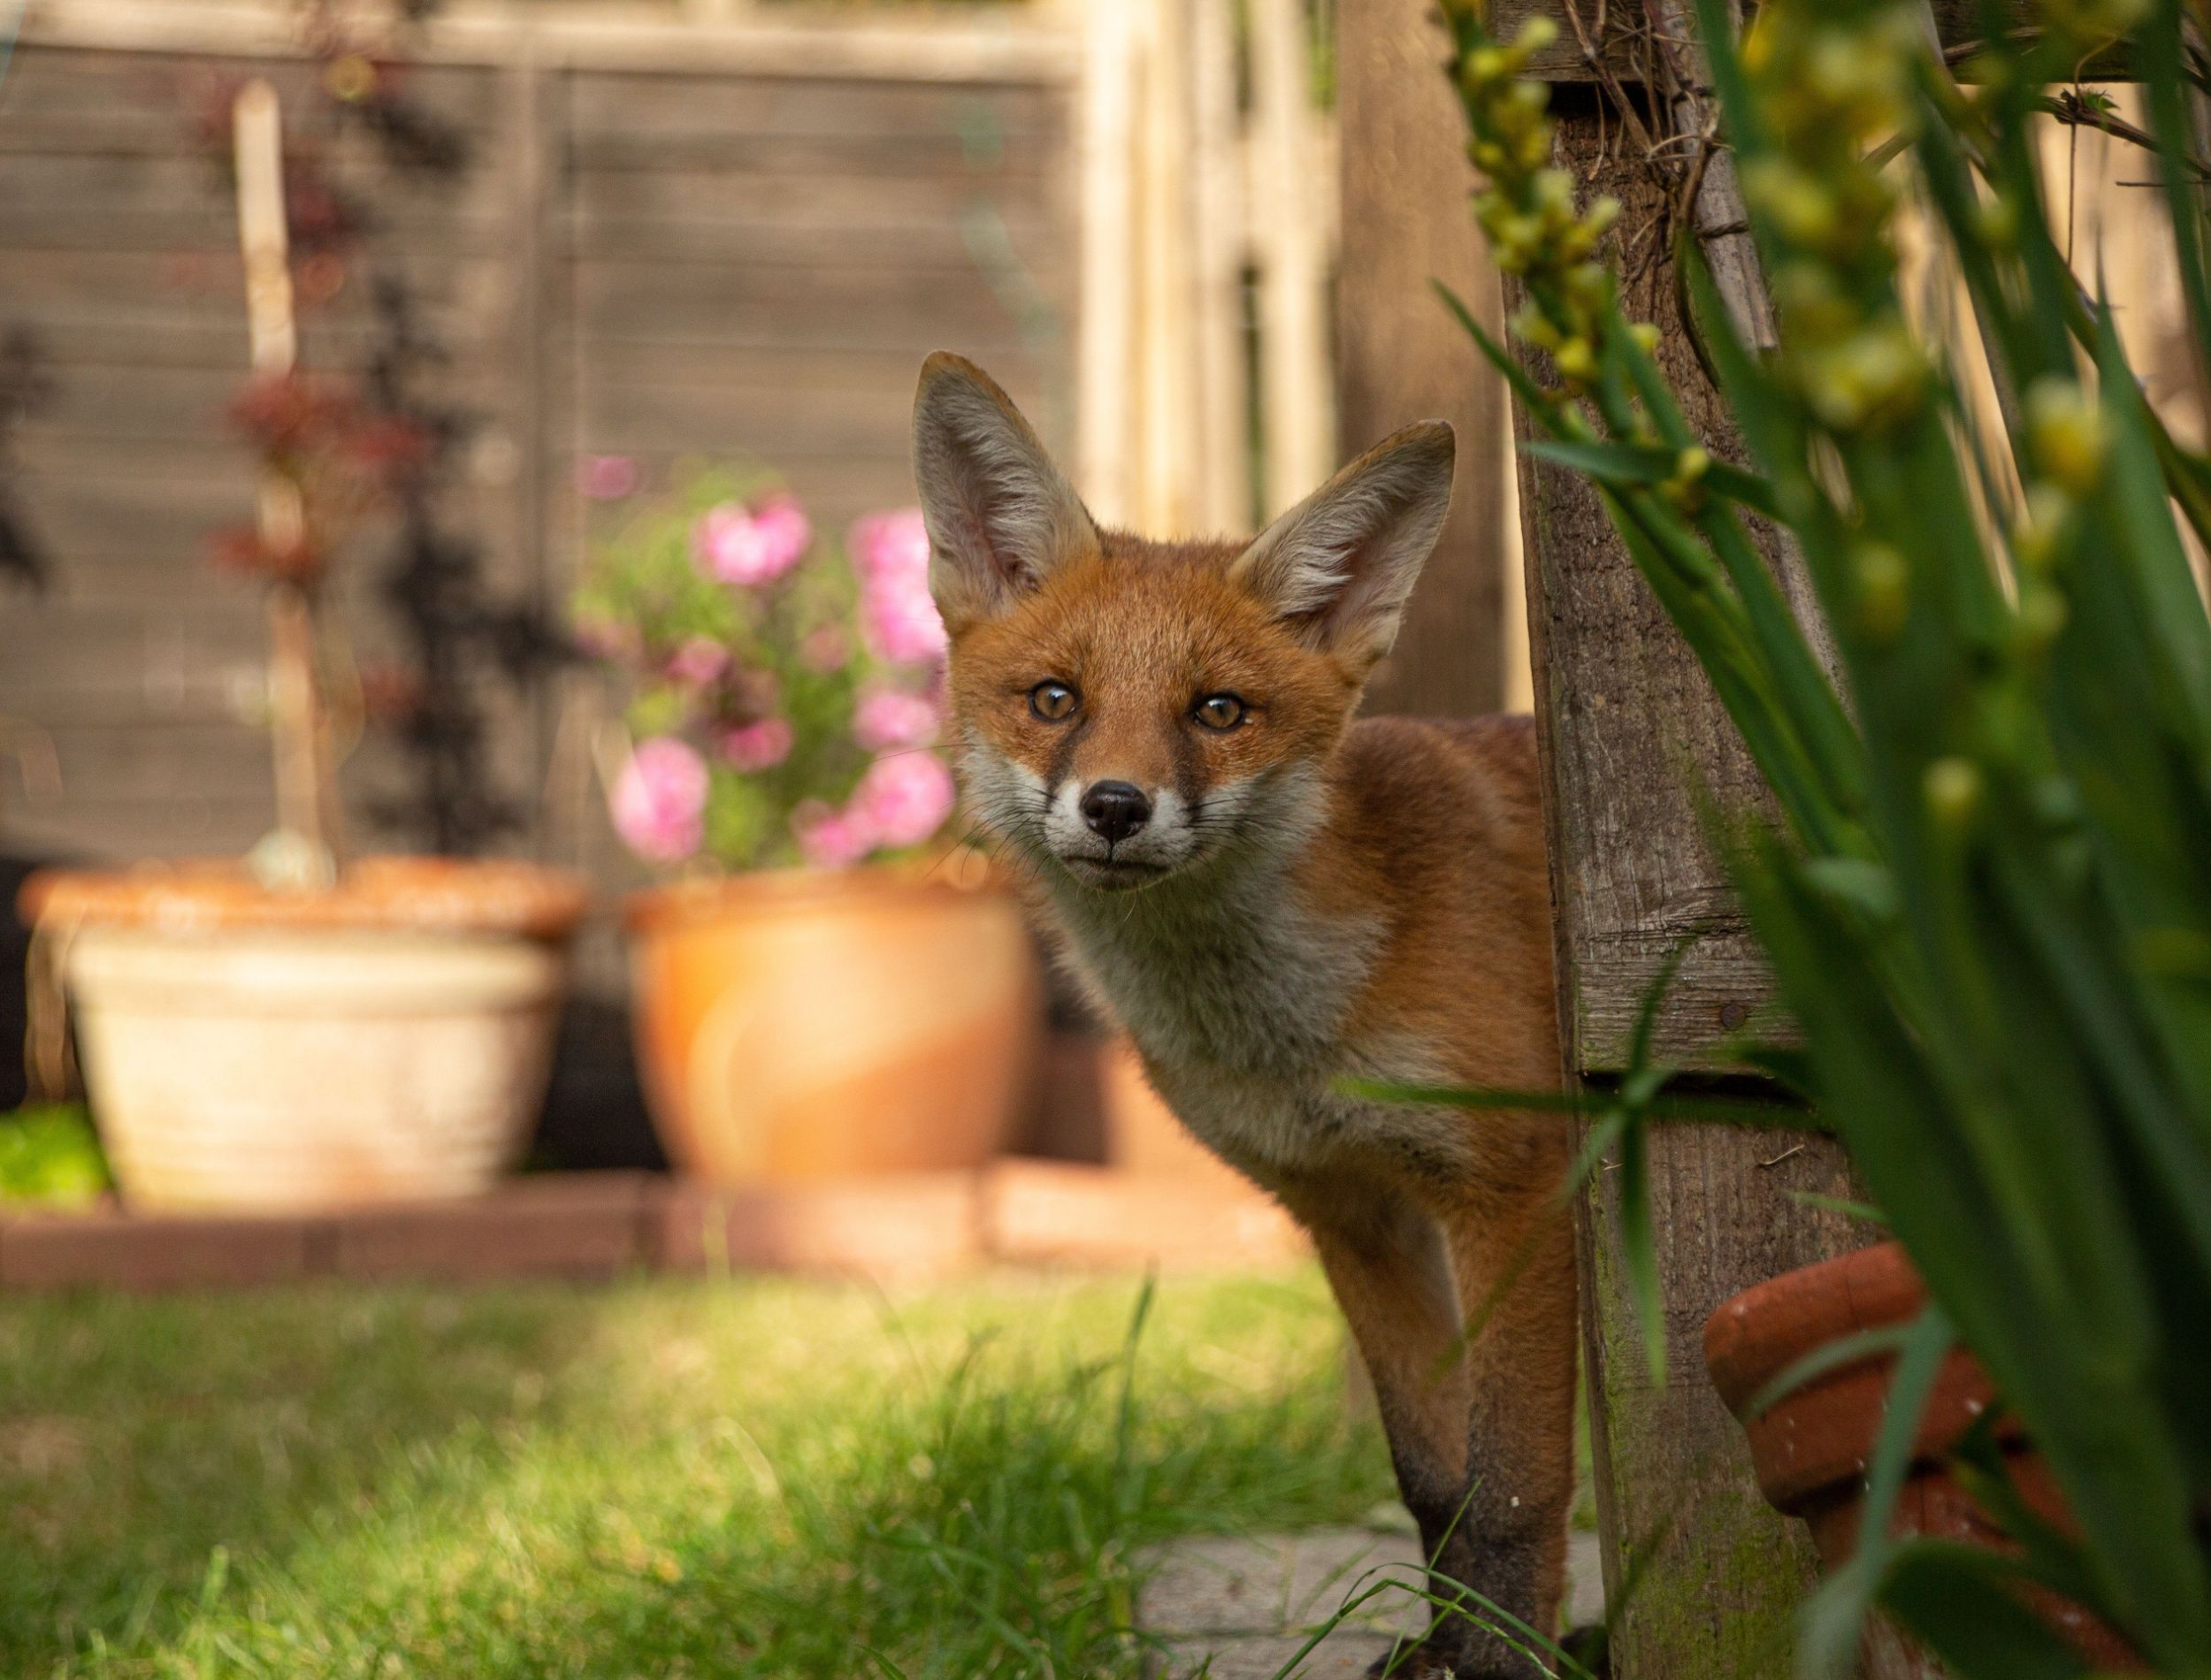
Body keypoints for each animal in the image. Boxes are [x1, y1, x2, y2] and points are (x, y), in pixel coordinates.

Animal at [911, 353, 1577, 1678]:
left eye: (1217, 712)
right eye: (1055, 699)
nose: (1116, 807)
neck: (1296, 1035)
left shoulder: (1516, 1184)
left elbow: (1515, 1491)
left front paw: (1502, 1660)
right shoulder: (1352, 1209)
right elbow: (1435, 1480)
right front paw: (1441, 1649)